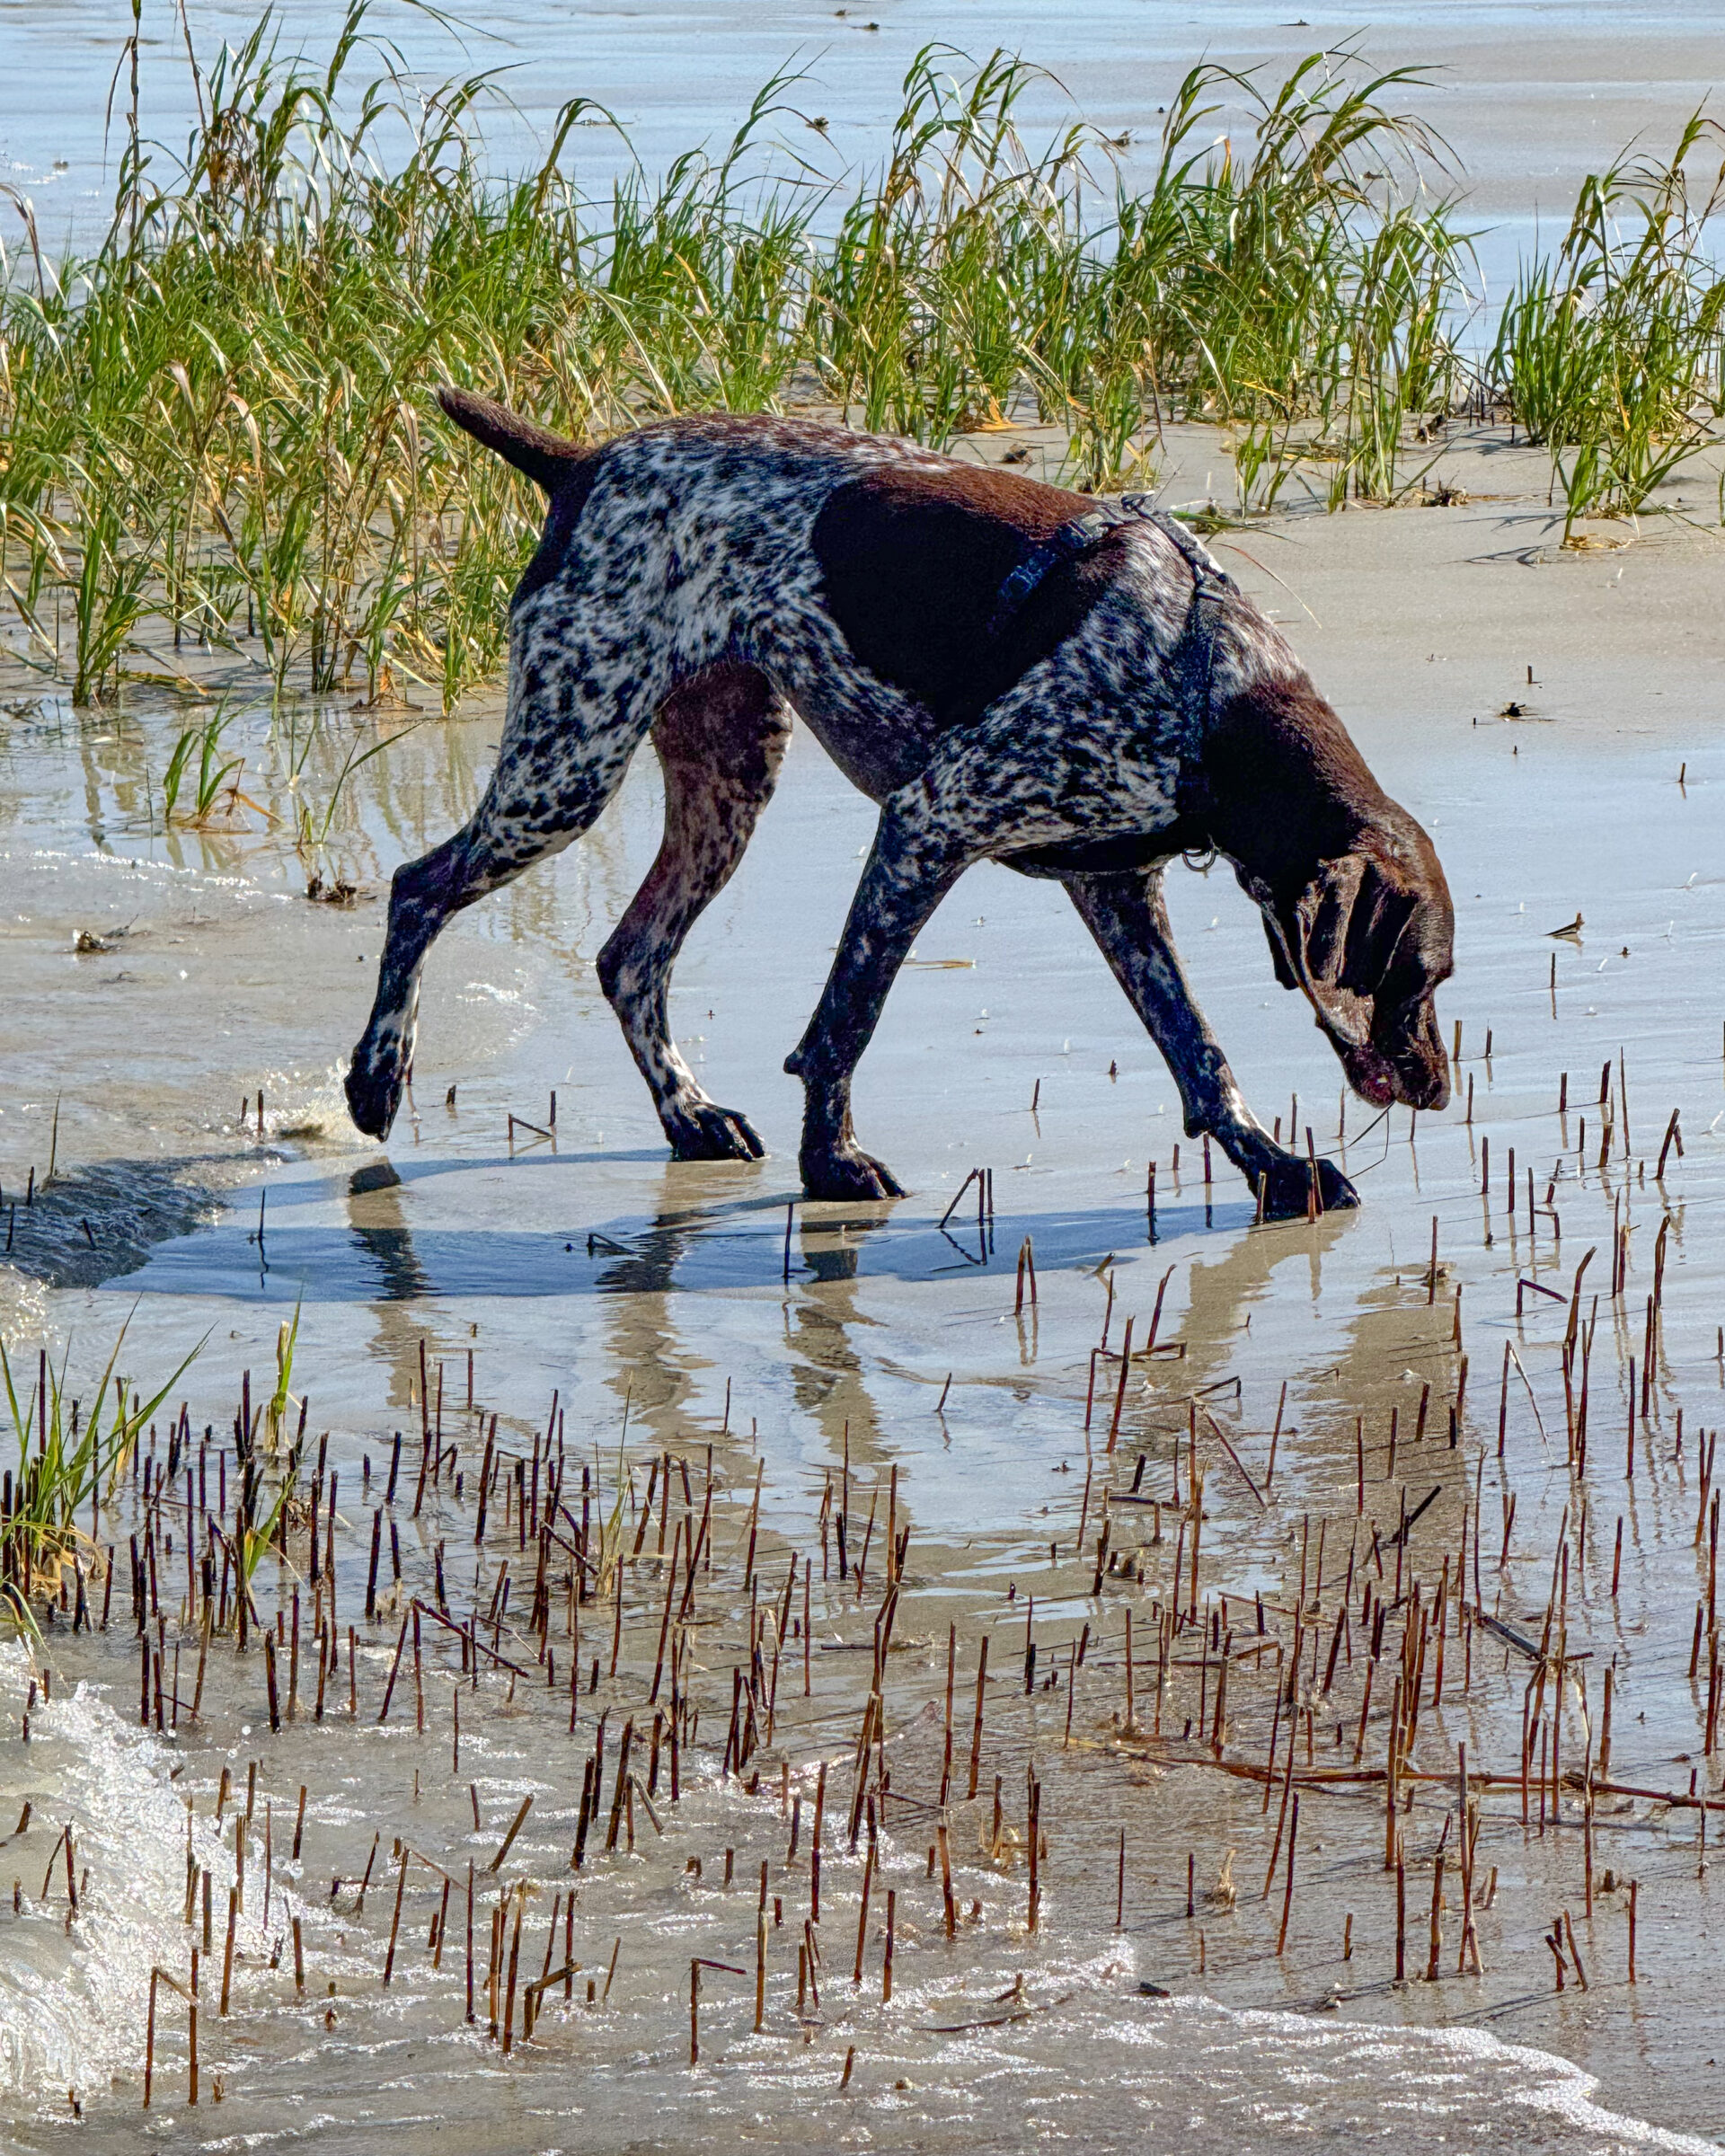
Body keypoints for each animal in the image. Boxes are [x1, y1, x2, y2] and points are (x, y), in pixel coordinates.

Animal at [342, 385, 1448, 1215]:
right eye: (1421, 975)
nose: (1439, 1092)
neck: (1208, 691)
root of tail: (585, 461)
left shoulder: (1116, 887)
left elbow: (1199, 1054)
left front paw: (1276, 1169)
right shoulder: (928, 826)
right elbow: (847, 1019)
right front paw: (830, 1162)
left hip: (725, 779)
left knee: (631, 957)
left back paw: (689, 1114)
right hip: (566, 767)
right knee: (418, 888)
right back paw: (376, 1076)